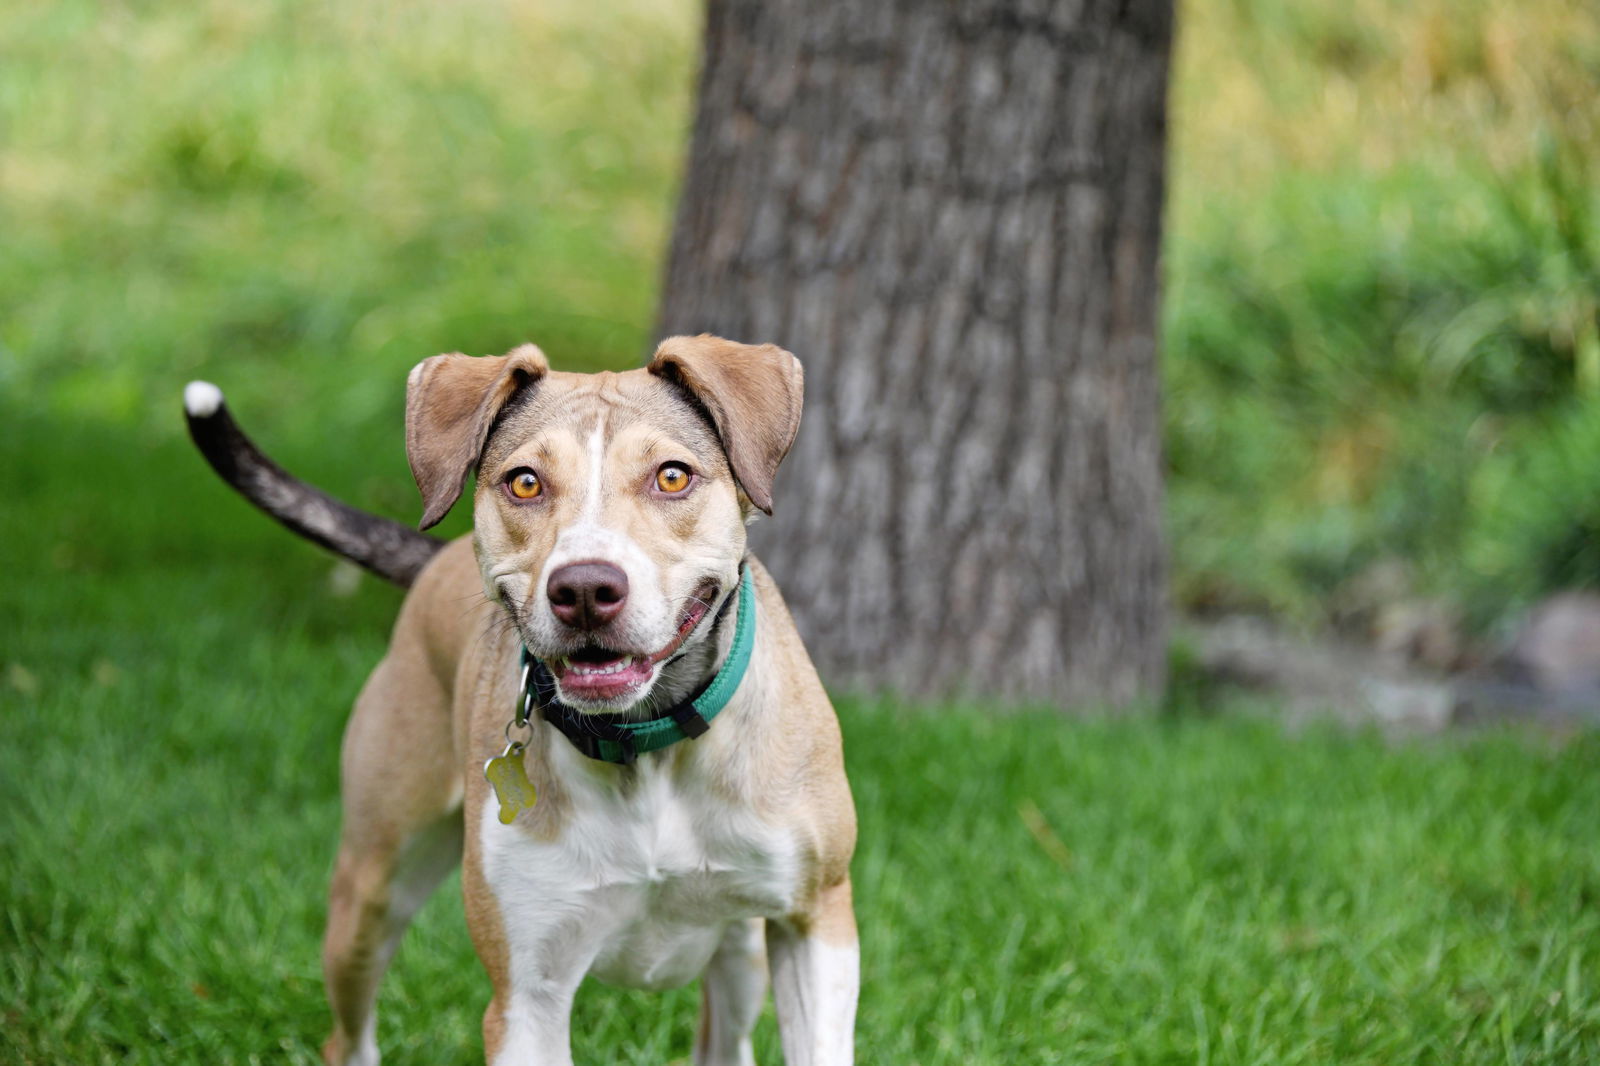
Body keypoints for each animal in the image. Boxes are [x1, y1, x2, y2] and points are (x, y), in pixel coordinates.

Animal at [184, 334, 864, 1062]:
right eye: (526, 482)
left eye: (673, 476)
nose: (586, 588)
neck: (645, 745)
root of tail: (436, 558)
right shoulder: (527, 991)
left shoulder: (815, 923)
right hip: (370, 890)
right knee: (350, 1030)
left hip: (742, 951)